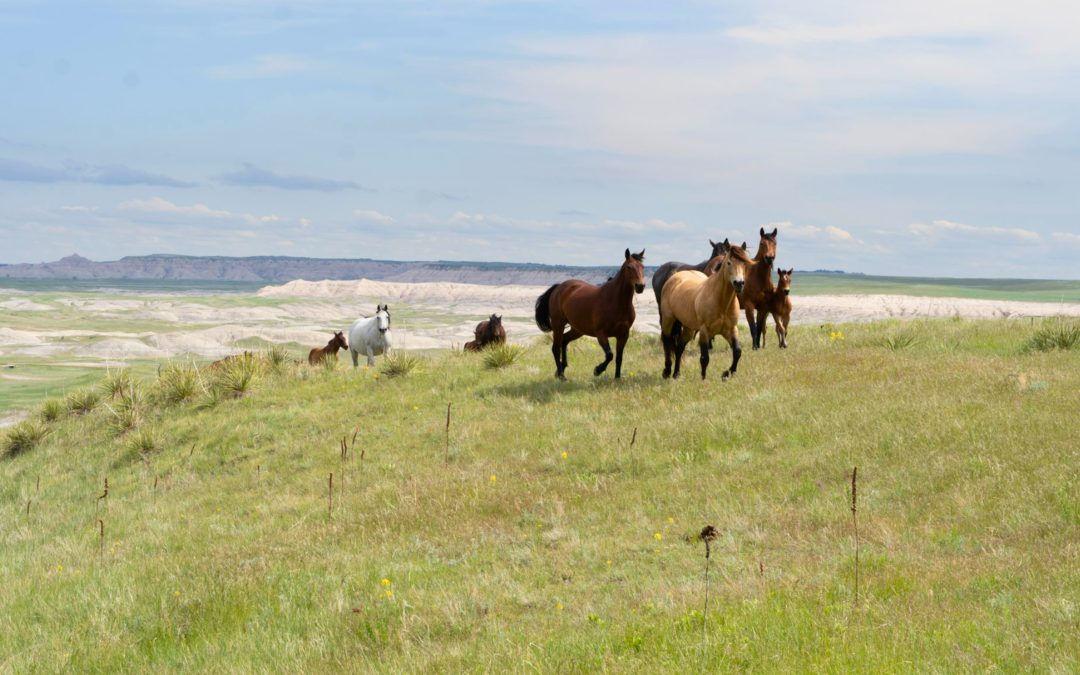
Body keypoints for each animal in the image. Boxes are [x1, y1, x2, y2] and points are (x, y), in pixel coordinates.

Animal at [534, 248, 646, 380]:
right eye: (629, 267)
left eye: (642, 267)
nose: (640, 286)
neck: (615, 301)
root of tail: (558, 287)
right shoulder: (601, 334)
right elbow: (610, 355)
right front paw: (597, 370)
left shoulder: (623, 335)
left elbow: (619, 358)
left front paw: (617, 378)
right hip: (558, 325)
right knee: (555, 348)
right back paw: (561, 376)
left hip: (577, 329)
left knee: (564, 341)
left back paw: (561, 369)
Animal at [660, 245, 754, 381]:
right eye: (729, 262)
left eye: (744, 264)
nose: (739, 283)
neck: (721, 302)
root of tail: (674, 277)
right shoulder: (704, 331)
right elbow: (704, 358)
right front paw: (703, 379)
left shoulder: (731, 329)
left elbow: (737, 352)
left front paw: (727, 374)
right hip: (668, 320)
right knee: (666, 341)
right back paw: (667, 371)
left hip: (689, 328)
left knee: (679, 348)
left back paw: (676, 374)